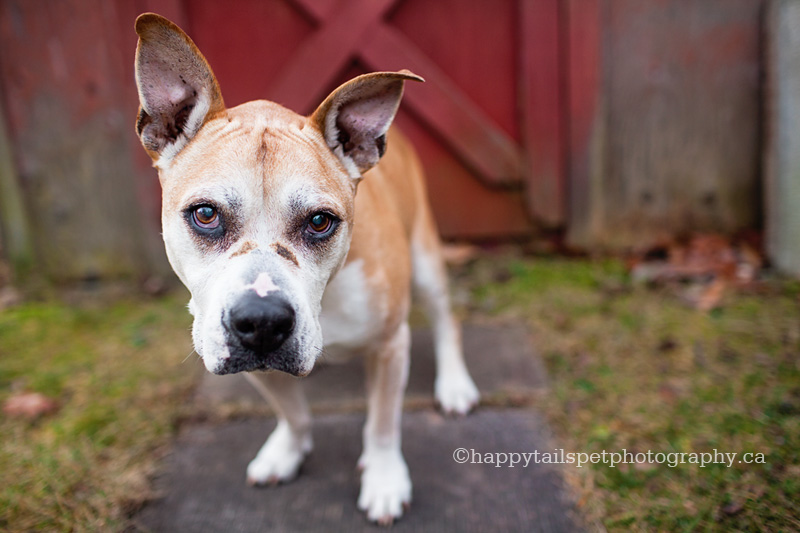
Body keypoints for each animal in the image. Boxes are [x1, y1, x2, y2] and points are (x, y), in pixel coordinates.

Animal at [134, 12, 478, 524]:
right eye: (206, 214)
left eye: (319, 221)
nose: (261, 321)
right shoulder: (246, 360)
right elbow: (293, 413)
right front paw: (287, 452)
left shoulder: (390, 345)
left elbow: (382, 422)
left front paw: (383, 478)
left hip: (426, 262)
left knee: (445, 320)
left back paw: (454, 384)